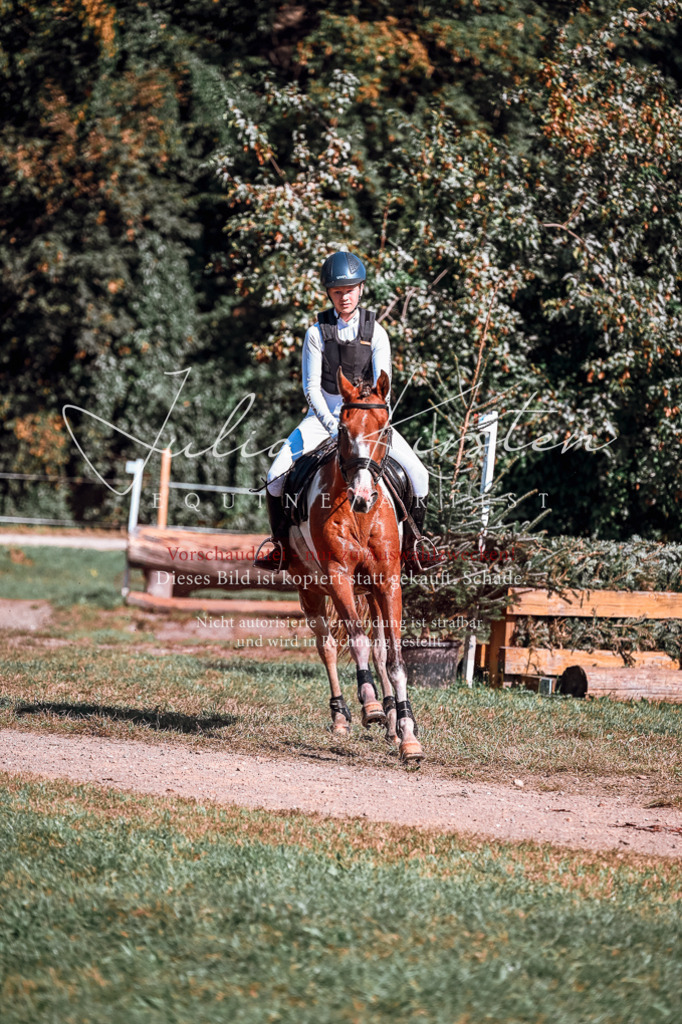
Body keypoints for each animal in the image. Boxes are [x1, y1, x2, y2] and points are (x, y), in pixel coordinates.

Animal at [286, 368, 423, 764]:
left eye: (385, 427)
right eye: (344, 429)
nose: (363, 497)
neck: (360, 516)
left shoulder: (388, 583)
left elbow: (394, 659)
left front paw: (407, 734)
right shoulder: (338, 577)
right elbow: (358, 643)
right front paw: (371, 706)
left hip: (371, 593)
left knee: (378, 649)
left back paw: (392, 724)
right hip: (310, 589)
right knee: (328, 646)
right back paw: (342, 716)